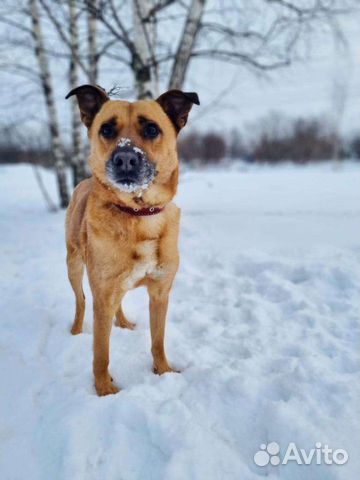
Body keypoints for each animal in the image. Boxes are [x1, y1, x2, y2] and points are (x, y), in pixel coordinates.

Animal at [65, 86, 200, 398]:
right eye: (106, 129)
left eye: (151, 129)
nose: (125, 158)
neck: (138, 215)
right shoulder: (103, 294)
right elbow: (101, 352)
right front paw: (104, 390)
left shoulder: (160, 292)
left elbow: (158, 341)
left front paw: (163, 372)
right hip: (74, 265)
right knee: (80, 300)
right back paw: (76, 331)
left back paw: (123, 322)